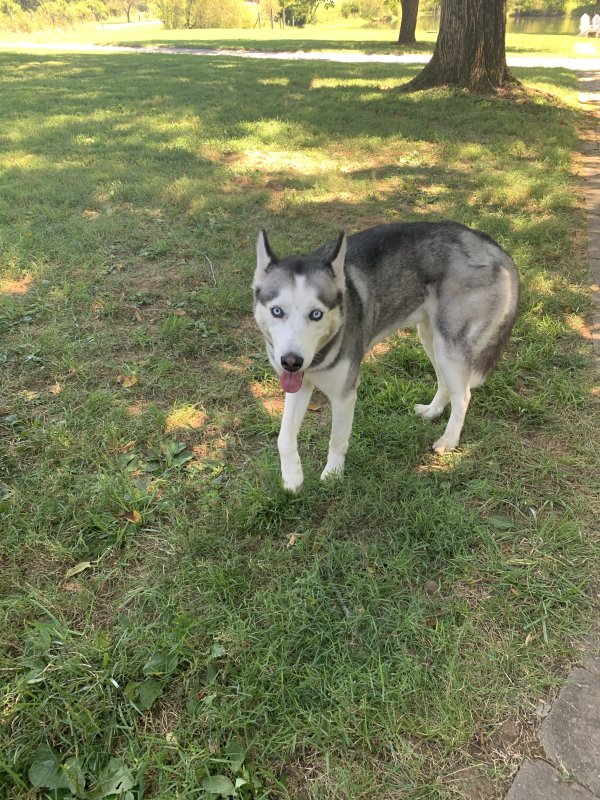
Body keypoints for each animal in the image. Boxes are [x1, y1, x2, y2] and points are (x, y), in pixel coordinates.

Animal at [251, 222, 516, 490]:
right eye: (277, 311)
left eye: (316, 314)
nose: (291, 361)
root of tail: (492, 245)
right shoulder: (300, 384)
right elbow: (284, 437)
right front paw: (292, 477)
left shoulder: (344, 396)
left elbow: (337, 439)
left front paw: (333, 475)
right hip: (431, 337)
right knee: (445, 383)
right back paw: (433, 411)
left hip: (450, 345)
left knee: (463, 395)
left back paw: (449, 440)